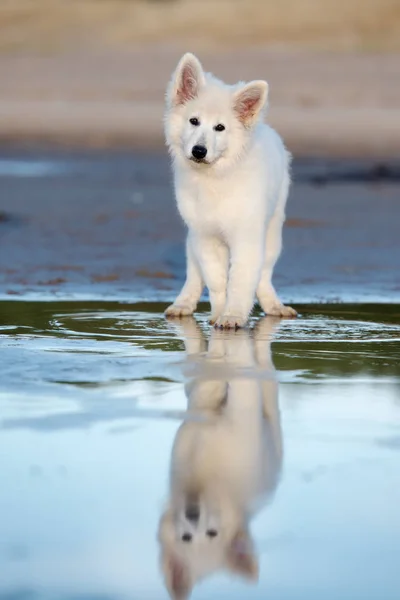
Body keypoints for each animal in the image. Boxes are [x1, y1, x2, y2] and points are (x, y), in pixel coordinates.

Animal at [163, 53, 296, 330]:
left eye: (220, 128)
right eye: (194, 121)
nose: (199, 151)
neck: (215, 179)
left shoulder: (246, 237)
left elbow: (241, 281)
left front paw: (233, 316)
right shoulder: (206, 236)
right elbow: (216, 281)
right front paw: (218, 314)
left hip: (272, 233)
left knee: (264, 275)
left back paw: (274, 306)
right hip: (193, 237)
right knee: (194, 274)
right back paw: (183, 304)